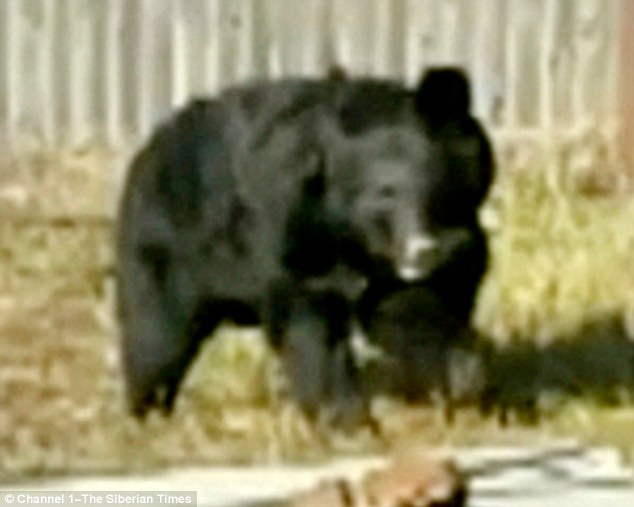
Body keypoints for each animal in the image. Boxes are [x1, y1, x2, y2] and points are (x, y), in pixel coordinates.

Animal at [117, 67, 494, 424]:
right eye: (382, 194)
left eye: (434, 190)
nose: (422, 251)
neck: (355, 237)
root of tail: (148, 148)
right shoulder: (291, 223)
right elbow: (311, 315)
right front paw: (344, 416)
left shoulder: (453, 237)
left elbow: (419, 304)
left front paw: (459, 379)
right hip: (169, 244)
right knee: (156, 337)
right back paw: (148, 411)